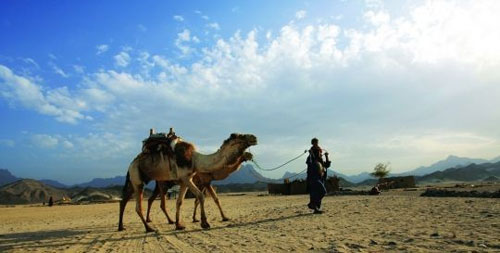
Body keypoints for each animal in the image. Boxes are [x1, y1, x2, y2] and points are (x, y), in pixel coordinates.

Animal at [117, 133, 258, 232]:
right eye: (237, 136)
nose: (254, 137)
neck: (195, 160)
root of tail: (131, 164)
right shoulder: (188, 178)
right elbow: (201, 196)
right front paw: (205, 223)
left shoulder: (185, 181)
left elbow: (180, 202)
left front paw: (179, 225)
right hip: (138, 179)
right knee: (139, 206)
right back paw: (148, 228)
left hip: (136, 180)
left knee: (124, 201)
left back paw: (121, 226)